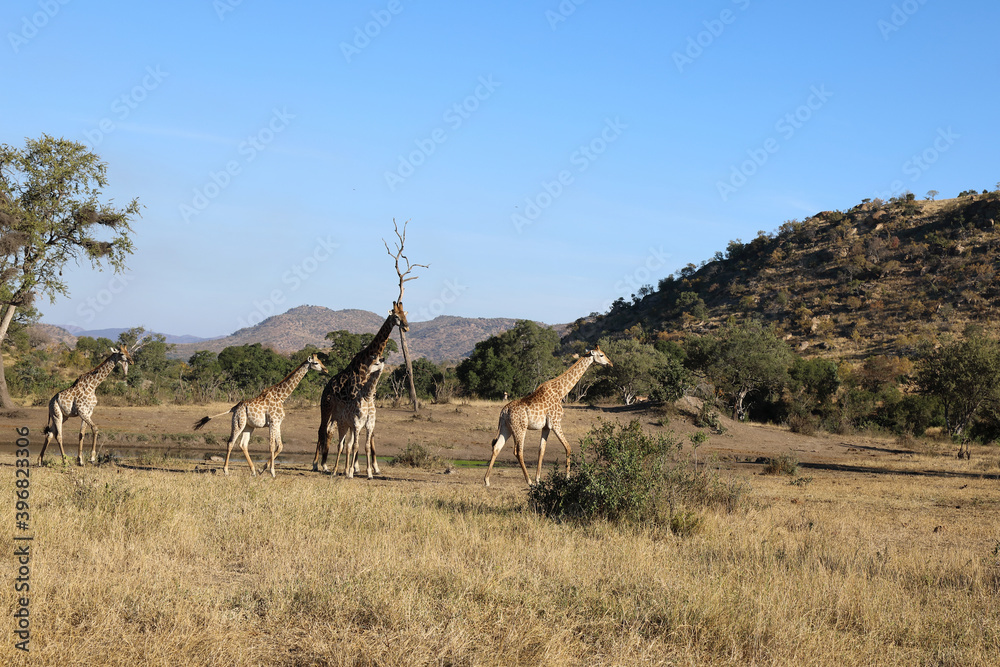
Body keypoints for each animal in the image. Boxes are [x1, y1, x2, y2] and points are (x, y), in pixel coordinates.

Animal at [193, 353, 327, 477]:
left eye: (321, 361)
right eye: (315, 363)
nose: (326, 370)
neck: (281, 396)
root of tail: (235, 407)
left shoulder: (278, 423)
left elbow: (280, 446)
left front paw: (261, 469)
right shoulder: (273, 422)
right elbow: (272, 446)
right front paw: (272, 472)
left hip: (249, 426)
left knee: (243, 444)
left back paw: (253, 471)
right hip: (238, 423)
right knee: (231, 442)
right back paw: (226, 470)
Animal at [314, 302, 408, 478]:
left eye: (405, 314)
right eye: (396, 316)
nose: (406, 326)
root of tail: (326, 388)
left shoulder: (370, 403)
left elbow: (369, 436)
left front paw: (372, 468)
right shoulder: (357, 401)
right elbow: (354, 437)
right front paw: (354, 467)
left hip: (335, 411)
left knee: (329, 430)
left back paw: (325, 464)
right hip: (326, 407)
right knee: (322, 429)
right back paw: (317, 464)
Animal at [484, 345, 613, 487]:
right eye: (601, 355)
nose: (610, 363)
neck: (561, 392)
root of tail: (504, 411)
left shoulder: (546, 426)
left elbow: (542, 450)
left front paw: (538, 479)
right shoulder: (555, 422)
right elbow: (568, 447)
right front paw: (567, 478)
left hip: (506, 428)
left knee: (497, 447)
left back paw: (487, 480)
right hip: (520, 428)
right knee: (518, 451)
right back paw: (528, 481)